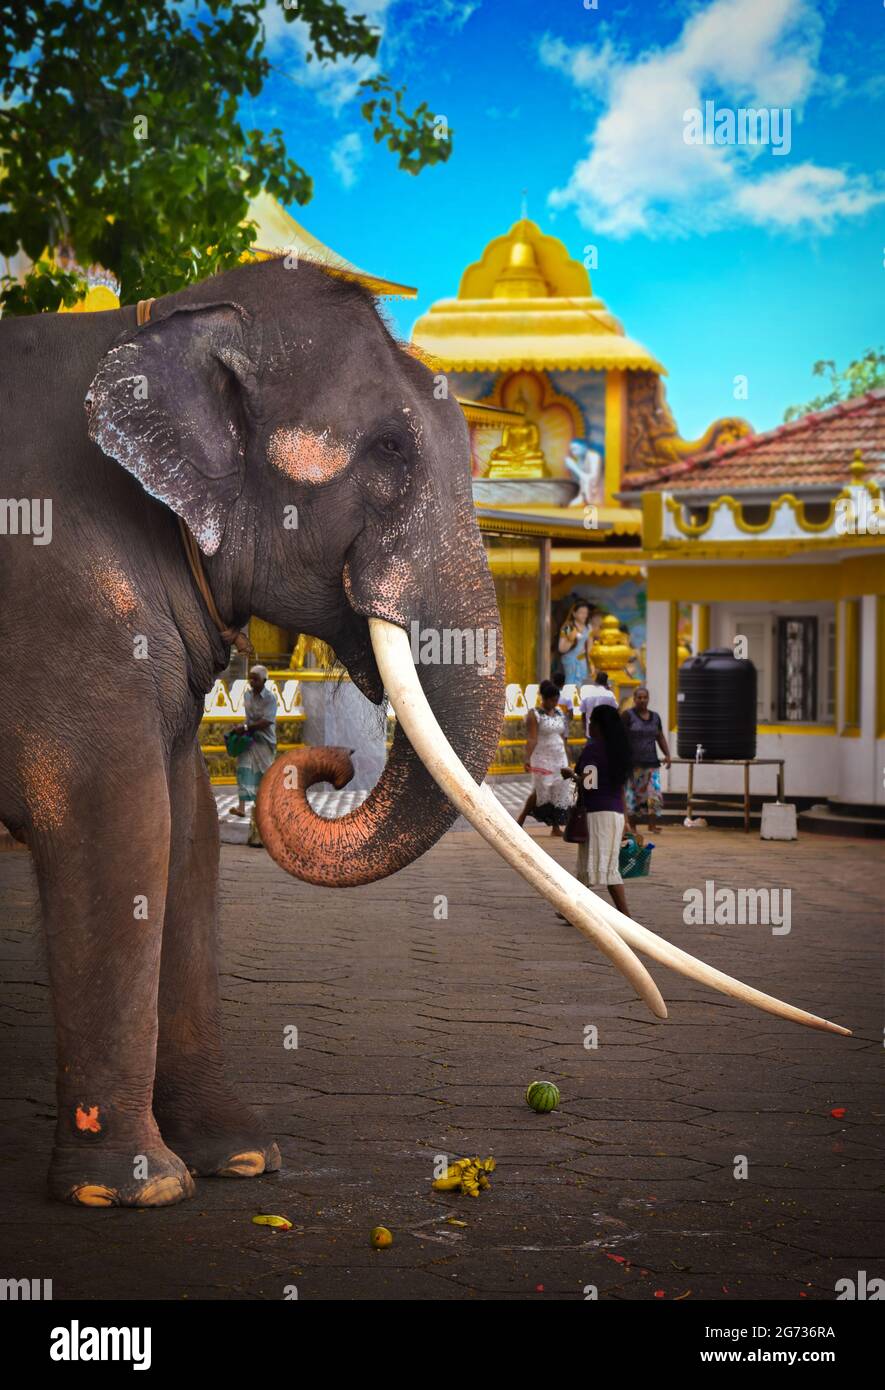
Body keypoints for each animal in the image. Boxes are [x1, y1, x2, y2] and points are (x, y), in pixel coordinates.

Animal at [0, 258, 844, 1206]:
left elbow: (185, 839)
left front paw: (241, 1159)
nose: (324, 764)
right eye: (389, 452)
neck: (152, 317)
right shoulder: (61, 592)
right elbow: (117, 825)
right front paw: (135, 1191)